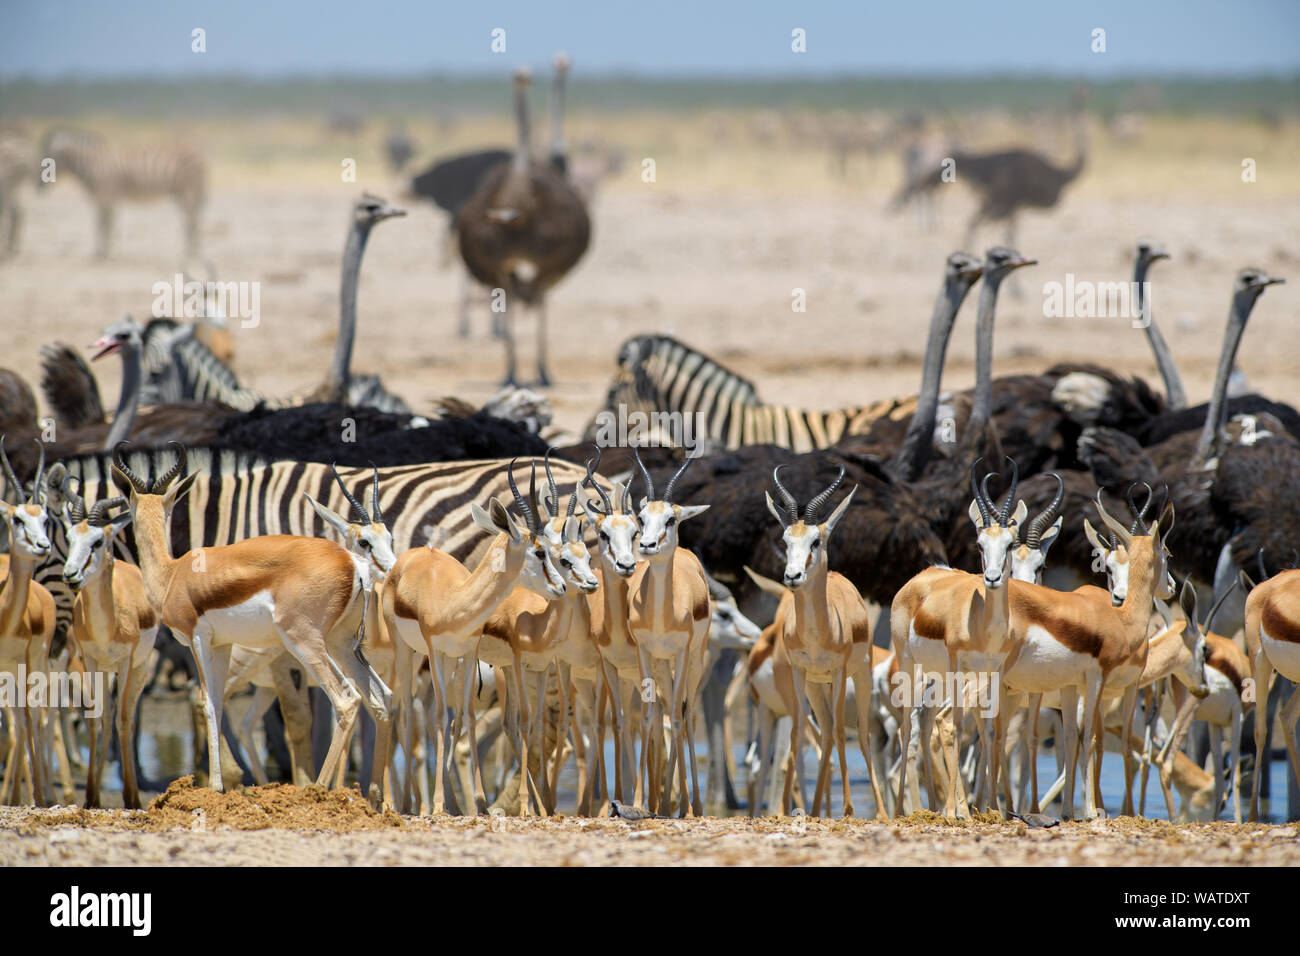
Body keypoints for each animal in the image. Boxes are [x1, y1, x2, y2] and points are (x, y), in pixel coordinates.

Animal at [38, 130, 206, 260]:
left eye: (48, 162)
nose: (38, 187)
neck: (92, 164)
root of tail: (196, 149)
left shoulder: (106, 196)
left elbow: (104, 225)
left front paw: (101, 255)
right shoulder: (103, 199)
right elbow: (103, 224)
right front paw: (101, 253)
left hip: (188, 190)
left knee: (193, 221)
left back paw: (190, 253)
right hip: (180, 193)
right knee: (191, 220)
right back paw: (191, 252)